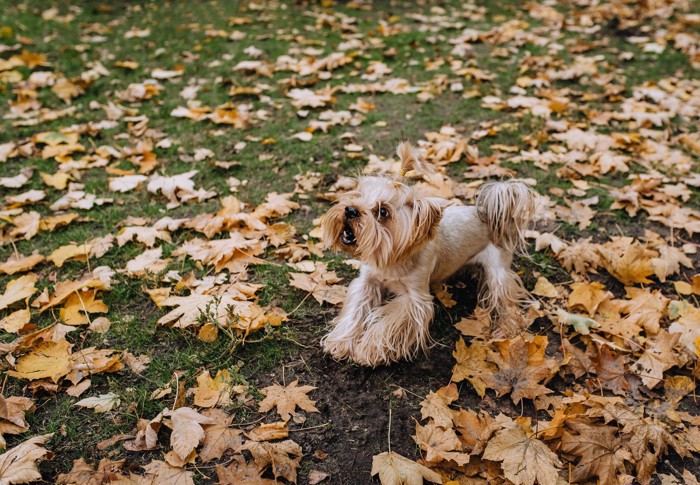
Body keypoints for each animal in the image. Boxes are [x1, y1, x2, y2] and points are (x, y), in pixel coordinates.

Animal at [318, 142, 536, 364]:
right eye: (357, 195)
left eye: (383, 212)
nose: (350, 210)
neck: (390, 259)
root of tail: (489, 216)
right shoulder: (366, 283)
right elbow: (355, 310)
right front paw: (340, 342)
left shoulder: (414, 299)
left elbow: (390, 321)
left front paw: (370, 349)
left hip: (497, 271)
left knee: (505, 299)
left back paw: (505, 330)